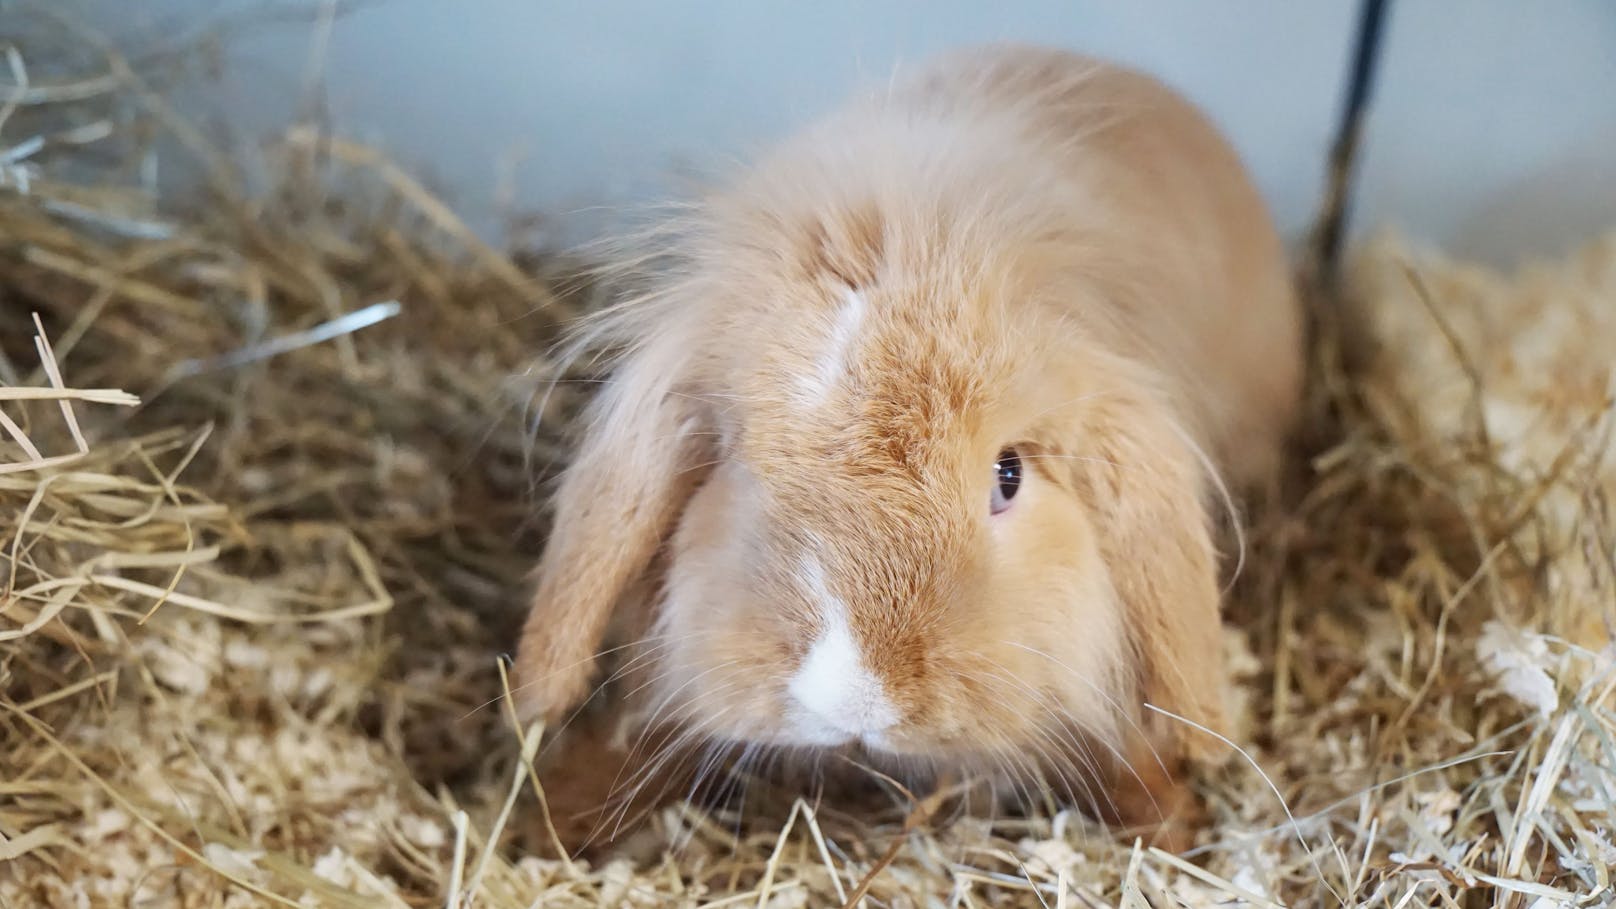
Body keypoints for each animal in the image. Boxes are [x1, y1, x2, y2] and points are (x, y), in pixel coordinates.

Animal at [510, 40, 1305, 847]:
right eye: (735, 467)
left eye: (1008, 476)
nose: (856, 698)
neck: (912, 241)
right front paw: (560, 812)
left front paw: (1168, 821)